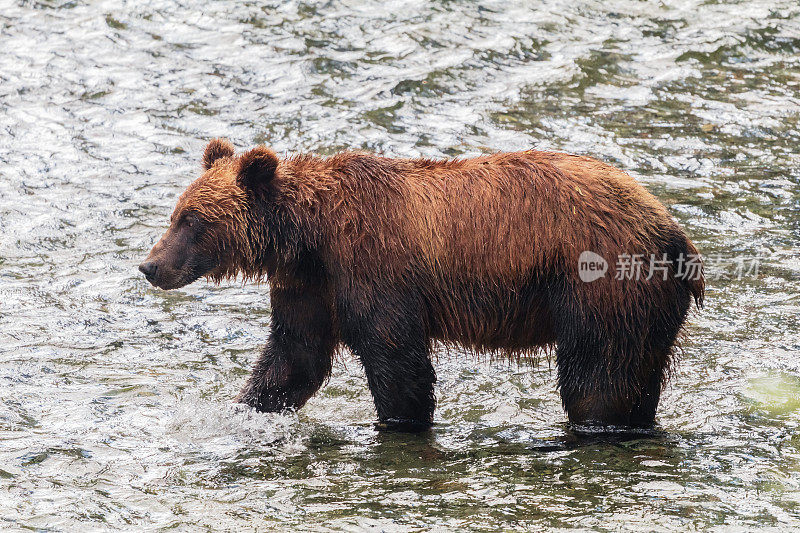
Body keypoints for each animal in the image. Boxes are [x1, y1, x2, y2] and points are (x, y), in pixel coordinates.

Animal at [141, 139, 704, 430]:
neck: (309, 235)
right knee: (636, 376)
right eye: (176, 214)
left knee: (597, 377)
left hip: (599, 286)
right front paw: (245, 408)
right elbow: (294, 356)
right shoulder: (310, 284)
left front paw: (397, 422)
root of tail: (672, 230)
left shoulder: (373, 267)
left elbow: (396, 359)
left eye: (191, 221)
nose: (149, 266)